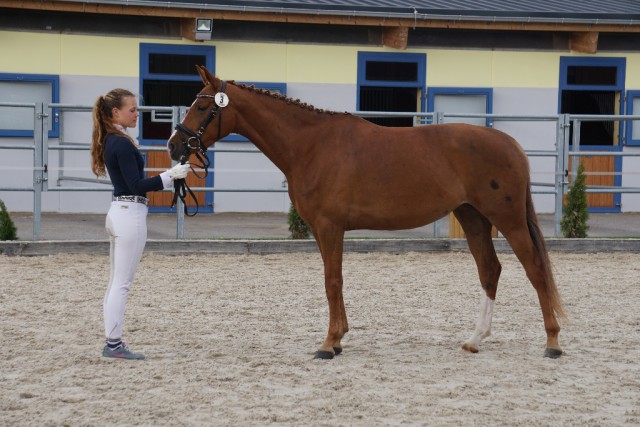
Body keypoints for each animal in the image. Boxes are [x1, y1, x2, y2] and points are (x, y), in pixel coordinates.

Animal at [168, 66, 564, 362]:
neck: (310, 145)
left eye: (202, 107)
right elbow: (335, 281)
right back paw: (475, 339)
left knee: (535, 268)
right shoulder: (324, 229)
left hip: (507, 219)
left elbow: (332, 282)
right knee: (490, 270)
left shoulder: (329, 226)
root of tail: (509, 144)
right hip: (472, 218)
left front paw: (329, 344)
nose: (174, 146)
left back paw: (553, 343)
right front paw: (338, 339)